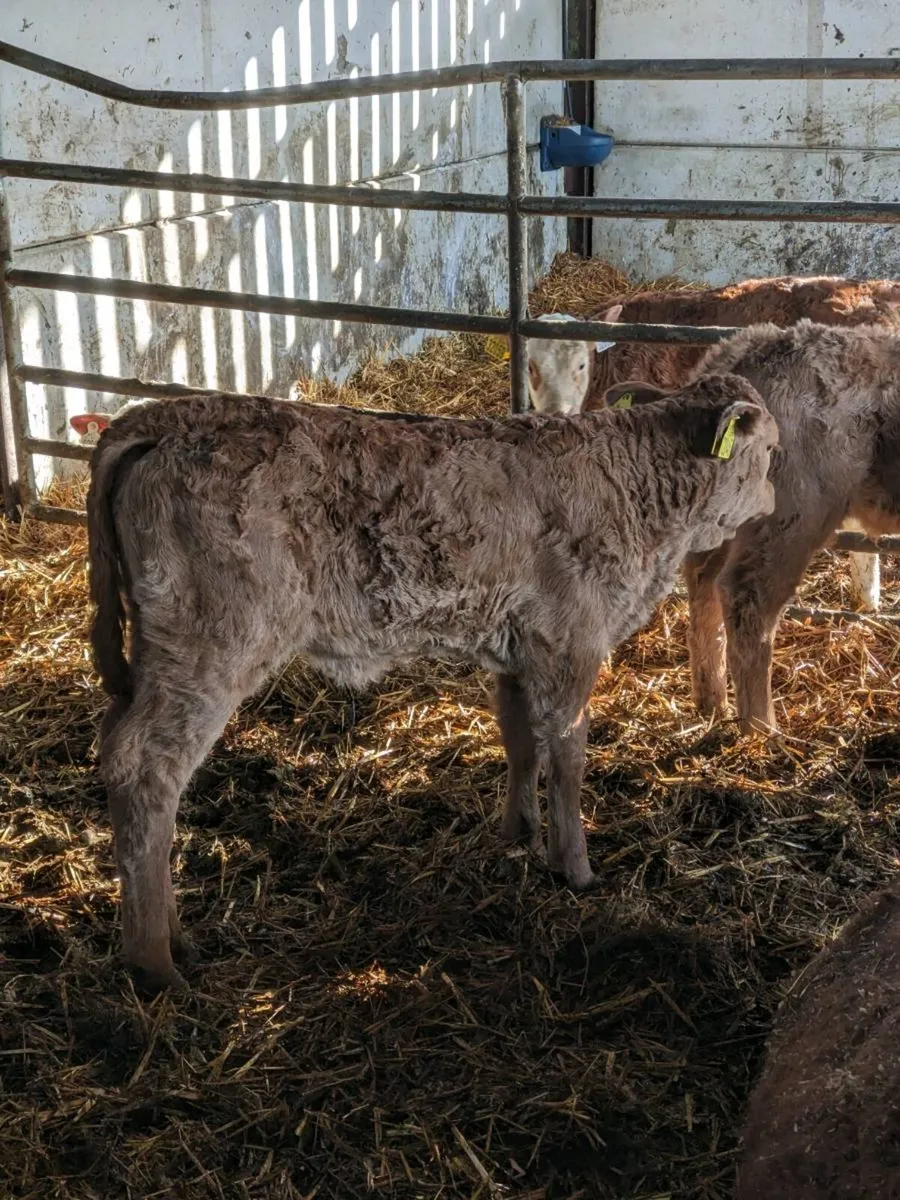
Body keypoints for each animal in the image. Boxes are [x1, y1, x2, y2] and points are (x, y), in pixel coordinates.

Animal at [86, 379, 777, 990]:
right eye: (770, 449)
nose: (774, 497)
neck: (631, 483)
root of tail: (167, 415)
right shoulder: (571, 642)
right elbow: (568, 755)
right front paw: (574, 867)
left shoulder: (517, 647)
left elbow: (520, 741)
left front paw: (520, 832)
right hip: (212, 647)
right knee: (145, 765)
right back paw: (155, 958)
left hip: (155, 648)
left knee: (118, 742)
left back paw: (170, 935)